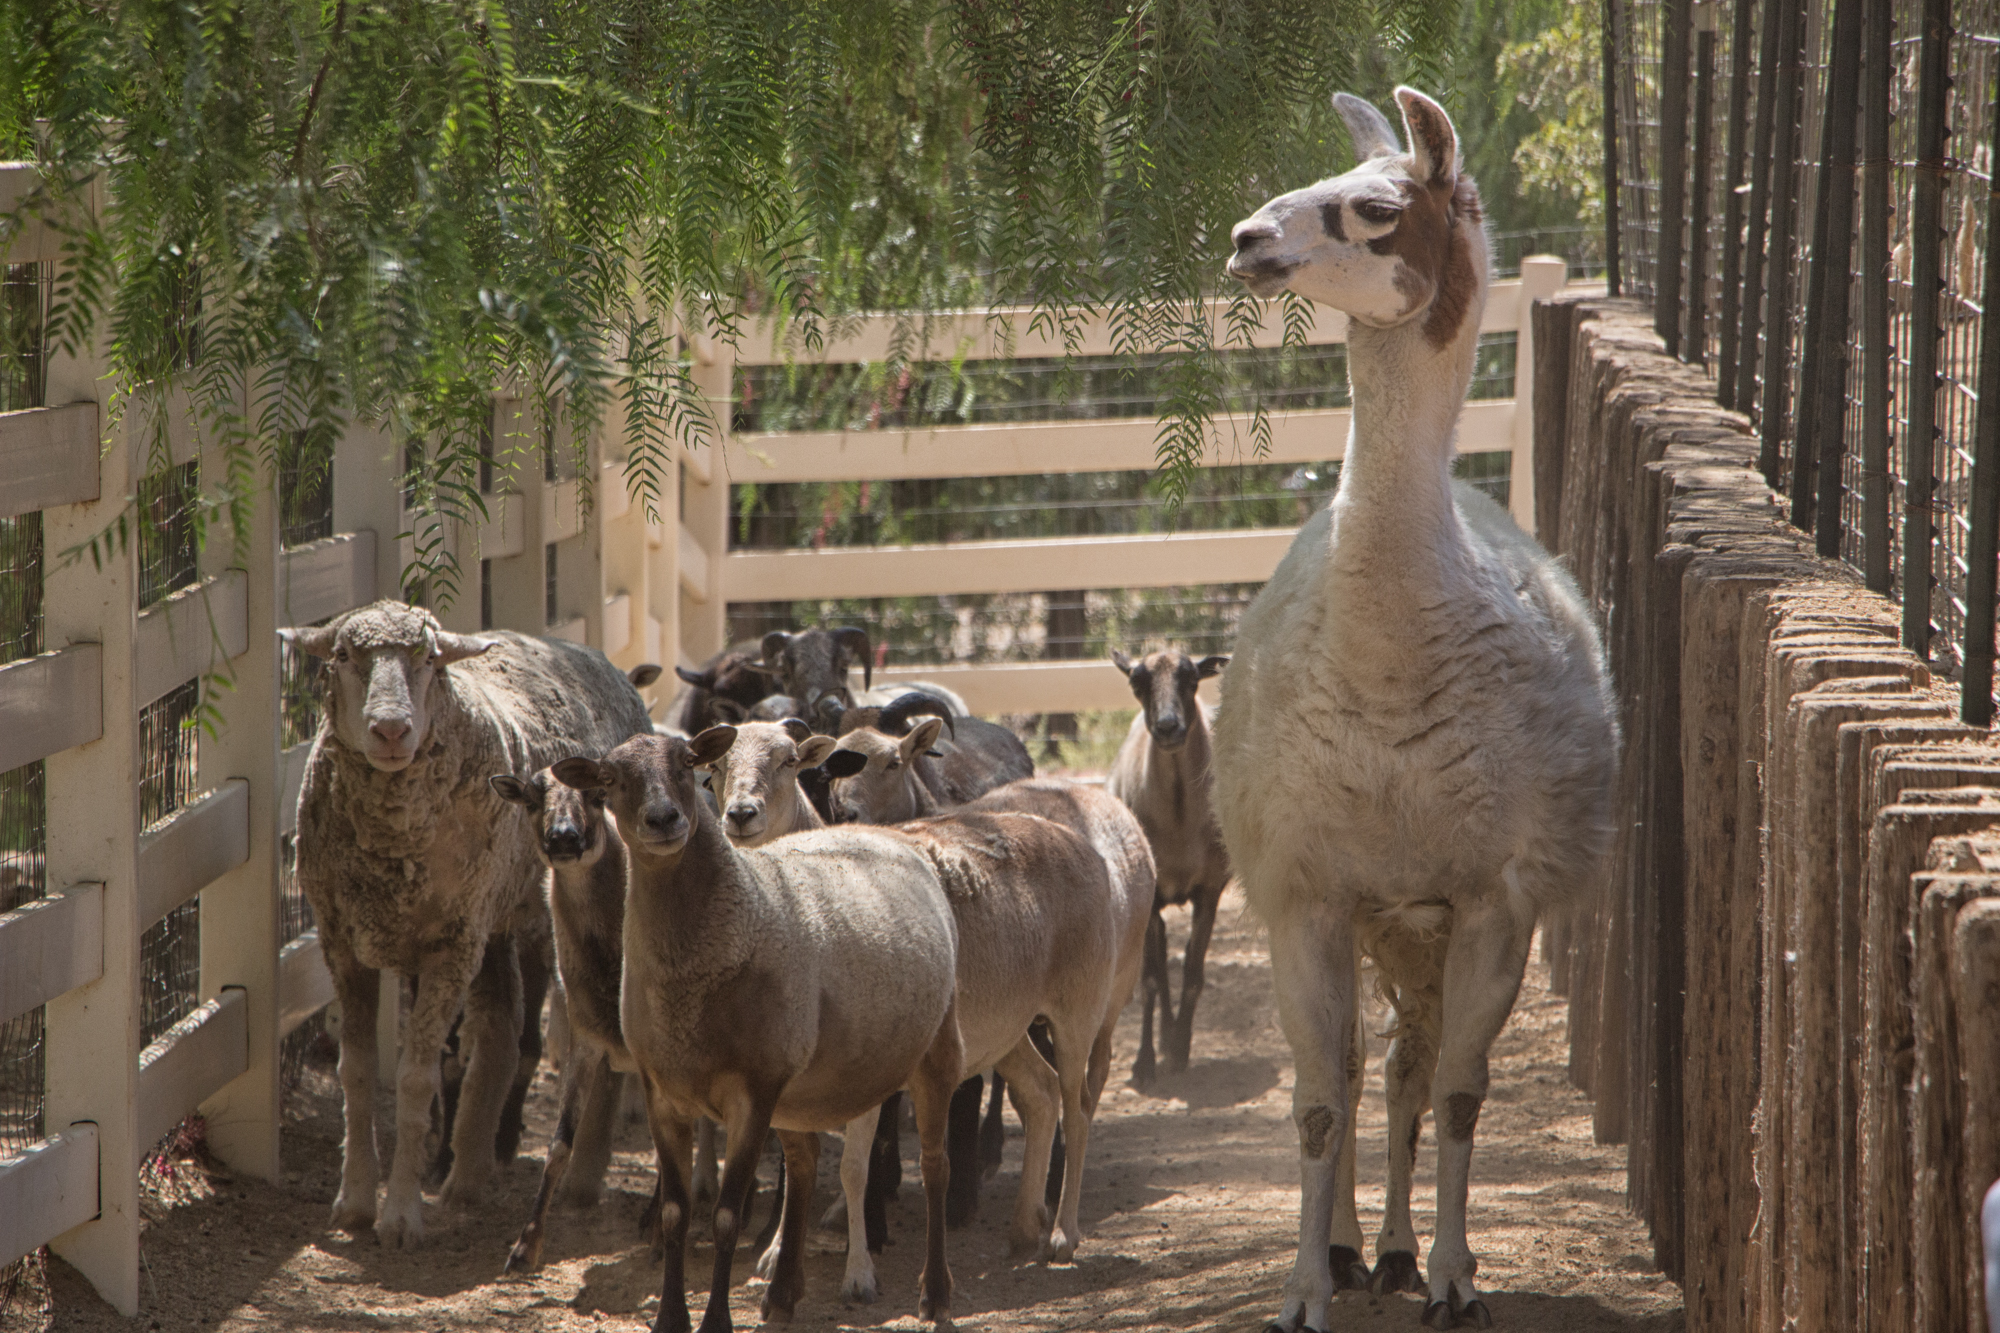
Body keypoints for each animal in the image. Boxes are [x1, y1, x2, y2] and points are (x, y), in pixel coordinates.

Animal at [282, 600, 652, 1248]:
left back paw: (582, 1179)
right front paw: (354, 1202)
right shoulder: (342, 940)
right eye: (344, 656)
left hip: (564, 921)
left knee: (594, 1036)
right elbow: (357, 1072)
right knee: (502, 1030)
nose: (391, 730)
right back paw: (468, 1174)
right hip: (492, 919)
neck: (391, 843)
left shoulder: (448, 948)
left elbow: (415, 1077)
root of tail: (594, 655)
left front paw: (401, 1215)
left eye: (430, 659)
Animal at [540, 732, 960, 1320]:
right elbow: (675, 1213)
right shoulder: (661, 1089)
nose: (664, 819)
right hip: (806, 1084)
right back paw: (783, 1294)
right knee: (804, 1166)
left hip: (936, 1046)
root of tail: (880, 833)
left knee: (936, 1164)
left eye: (686, 763)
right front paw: (671, 1316)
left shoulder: (752, 1090)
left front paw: (715, 1318)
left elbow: (725, 1217)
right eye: (608, 781)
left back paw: (935, 1292)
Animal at [1112, 644, 1232, 1080]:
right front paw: (1145, 1060)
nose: (1167, 727)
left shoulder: (1210, 891)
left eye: (1192, 679)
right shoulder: (1150, 898)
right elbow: (1149, 979)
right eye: (1137, 682)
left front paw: (1180, 1049)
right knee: (1159, 964)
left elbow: (1193, 975)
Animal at [1208, 88, 1616, 1320]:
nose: (1248, 239)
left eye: (1378, 205)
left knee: (1406, 1064)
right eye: (1315, 174)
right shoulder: (1305, 885)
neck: (1388, 673)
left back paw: (1397, 1250)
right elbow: (1311, 1099)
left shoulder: (1492, 893)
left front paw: (1450, 1277)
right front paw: (1303, 1287)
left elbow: (1460, 1091)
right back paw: (1354, 1246)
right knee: (1354, 1068)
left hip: (1417, 914)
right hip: (1374, 910)